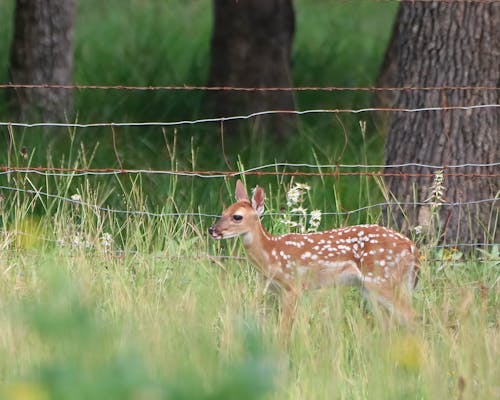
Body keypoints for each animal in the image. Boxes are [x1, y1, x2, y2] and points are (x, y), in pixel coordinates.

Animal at [209, 180, 420, 328]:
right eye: (223, 212)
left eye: (237, 217)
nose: (212, 230)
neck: (271, 253)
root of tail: (412, 247)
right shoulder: (275, 290)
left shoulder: (293, 286)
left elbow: (284, 328)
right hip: (372, 287)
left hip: (383, 279)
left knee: (410, 316)